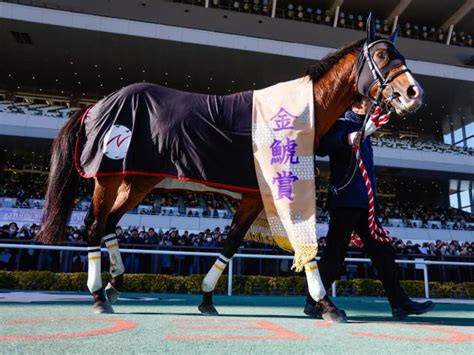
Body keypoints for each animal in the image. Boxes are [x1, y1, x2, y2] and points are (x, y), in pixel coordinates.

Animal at [39, 16, 424, 322]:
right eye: (381, 55)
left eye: (402, 56)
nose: (413, 93)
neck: (297, 112)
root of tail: (96, 106)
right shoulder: (281, 191)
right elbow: (305, 246)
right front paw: (327, 304)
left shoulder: (254, 197)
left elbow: (231, 242)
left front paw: (207, 297)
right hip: (109, 178)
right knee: (94, 225)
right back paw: (98, 295)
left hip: (136, 181)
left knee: (109, 223)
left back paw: (115, 284)